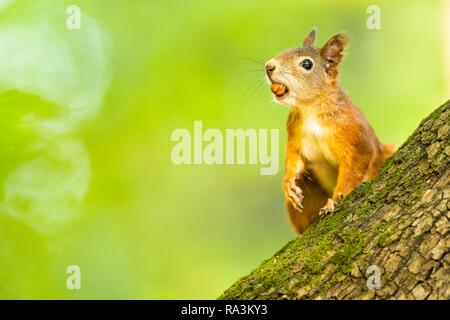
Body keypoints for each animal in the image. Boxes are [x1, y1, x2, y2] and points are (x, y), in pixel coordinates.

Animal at [266, 28, 396, 234]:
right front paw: (288, 182)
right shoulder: (295, 133)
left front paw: (334, 201)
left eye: (306, 64)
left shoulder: (356, 135)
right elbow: (294, 157)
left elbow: (353, 169)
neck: (310, 109)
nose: (268, 66)